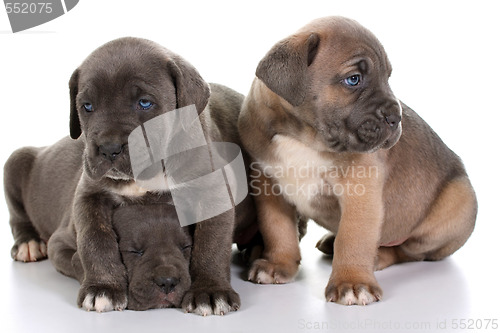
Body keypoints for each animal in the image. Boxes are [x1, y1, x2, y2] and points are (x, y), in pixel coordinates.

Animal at [4, 37, 258, 314]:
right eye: (87, 107)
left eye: (145, 103)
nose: (108, 148)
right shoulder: (90, 195)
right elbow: (95, 239)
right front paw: (103, 287)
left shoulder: (214, 190)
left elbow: (210, 243)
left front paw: (210, 292)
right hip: (15, 161)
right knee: (17, 215)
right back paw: (28, 243)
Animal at [238, 16, 476, 304]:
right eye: (354, 80)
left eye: (387, 77)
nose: (396, 117)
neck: (303, 137)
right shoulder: (269, 187)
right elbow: (278, 228)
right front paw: (278, 263)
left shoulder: (360, 194)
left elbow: (353, 238)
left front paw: (351, 281)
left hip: (456, 205)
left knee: (408, 251)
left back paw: (378, 256)